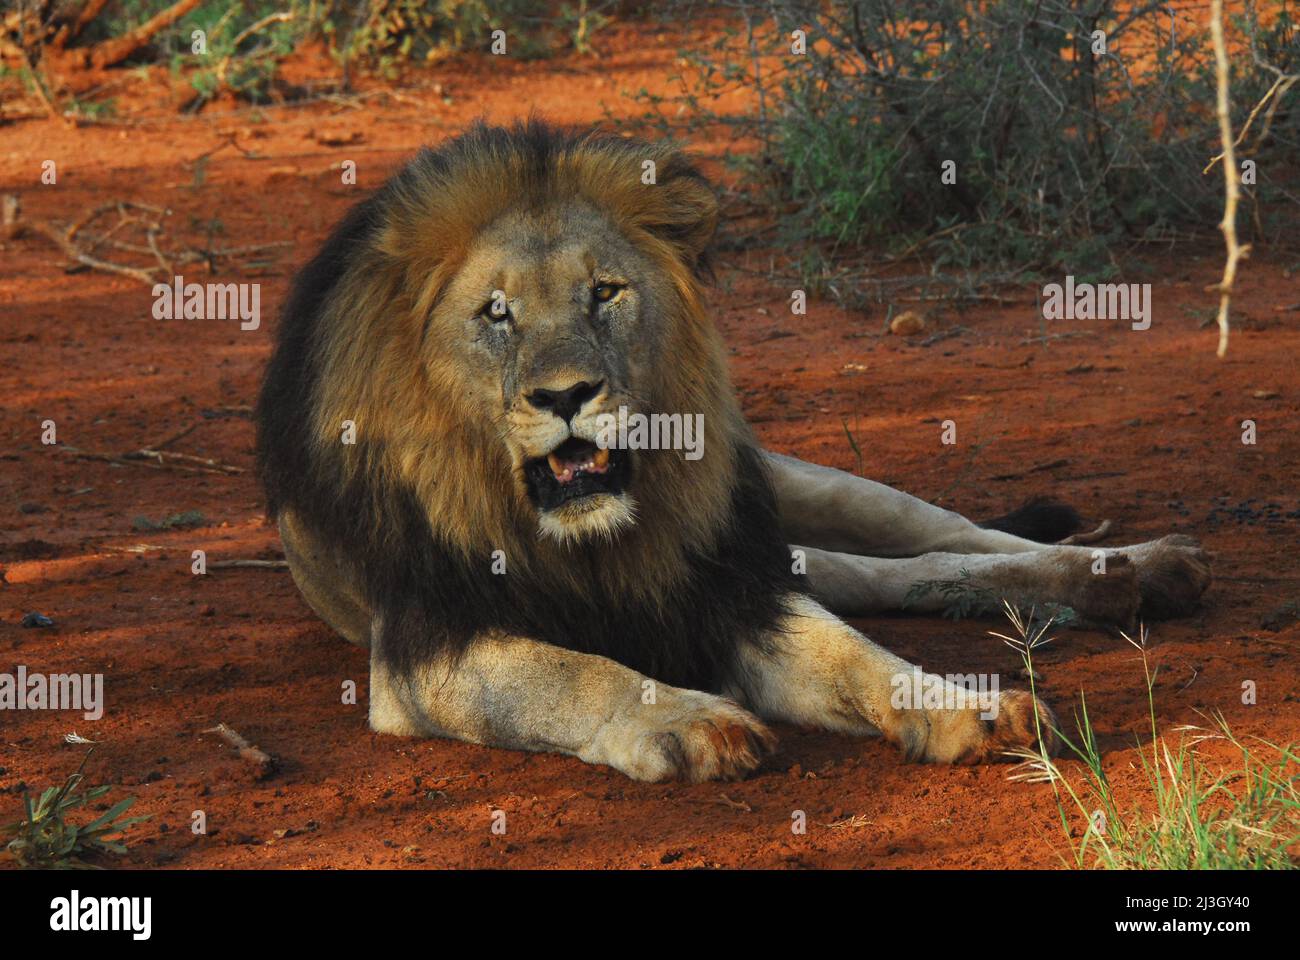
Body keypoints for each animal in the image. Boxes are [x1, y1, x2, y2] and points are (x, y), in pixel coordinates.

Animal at [253, 117, 1206, 780]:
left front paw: (960, 706)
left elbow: (851, 651)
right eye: (497, 314)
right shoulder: (425, 644)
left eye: (606, 293)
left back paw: (1129, 568)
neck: (581, 537)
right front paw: (688, 721)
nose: (565, 397)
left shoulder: (723, 581)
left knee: (948, 540)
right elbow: (572, 671)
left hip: (785, 486)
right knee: (876, 575)